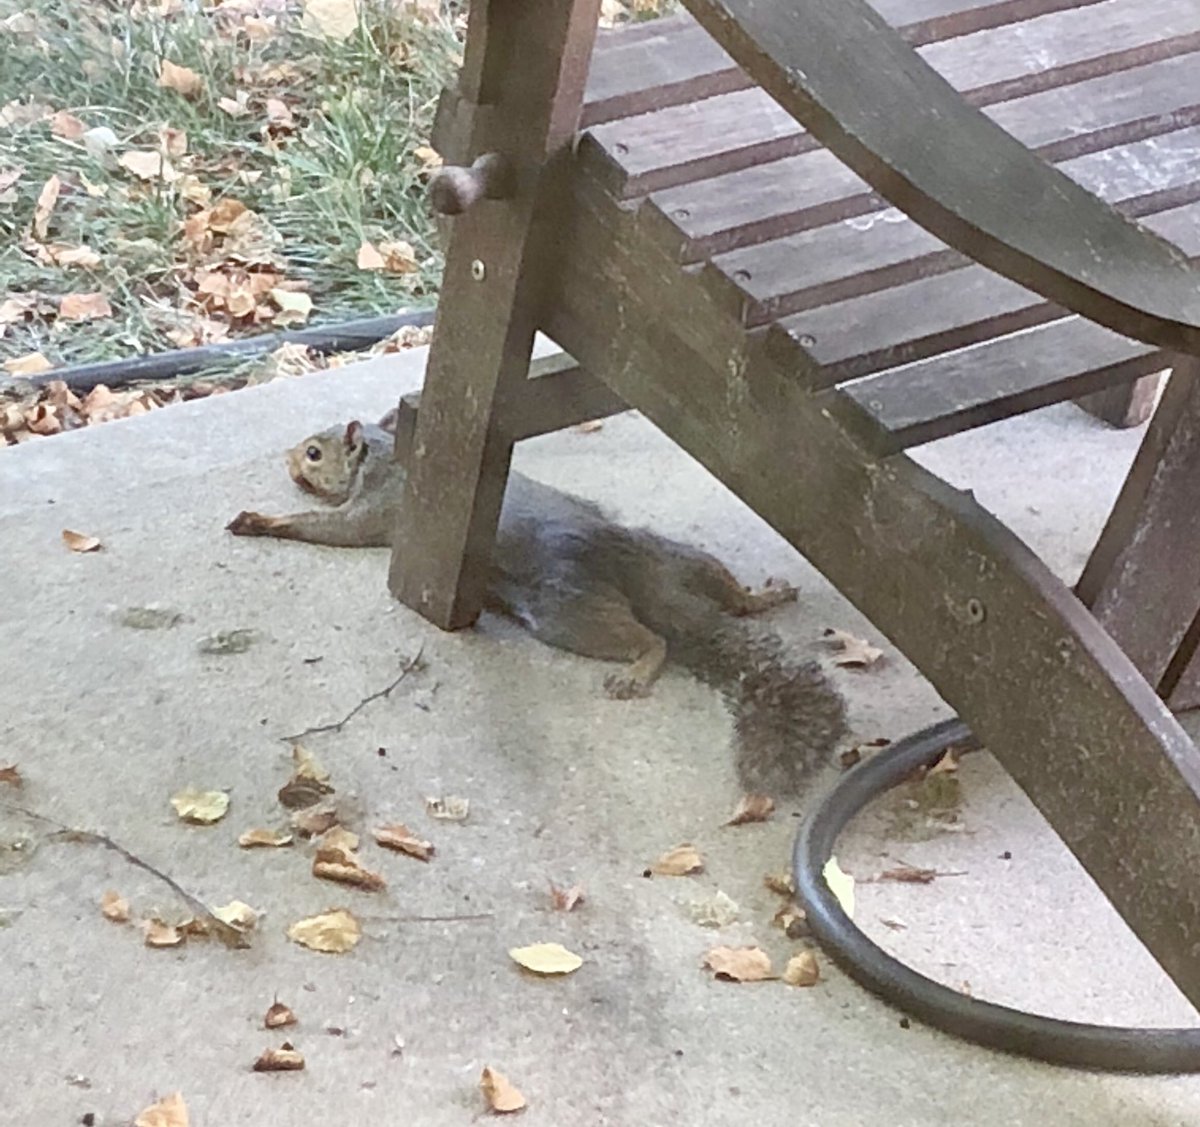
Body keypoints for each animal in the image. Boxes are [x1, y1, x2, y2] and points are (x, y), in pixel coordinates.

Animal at [227, 415, 848, 795]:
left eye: (314, 453)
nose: (287, 457)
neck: (385, 460)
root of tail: (643, 576)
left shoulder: (378, 512)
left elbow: (329, 528)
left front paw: (262, 520)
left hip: (571, 613)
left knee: (653, 640)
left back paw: (637, 671)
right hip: (684, 560)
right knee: (732, 599)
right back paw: (765, 595)